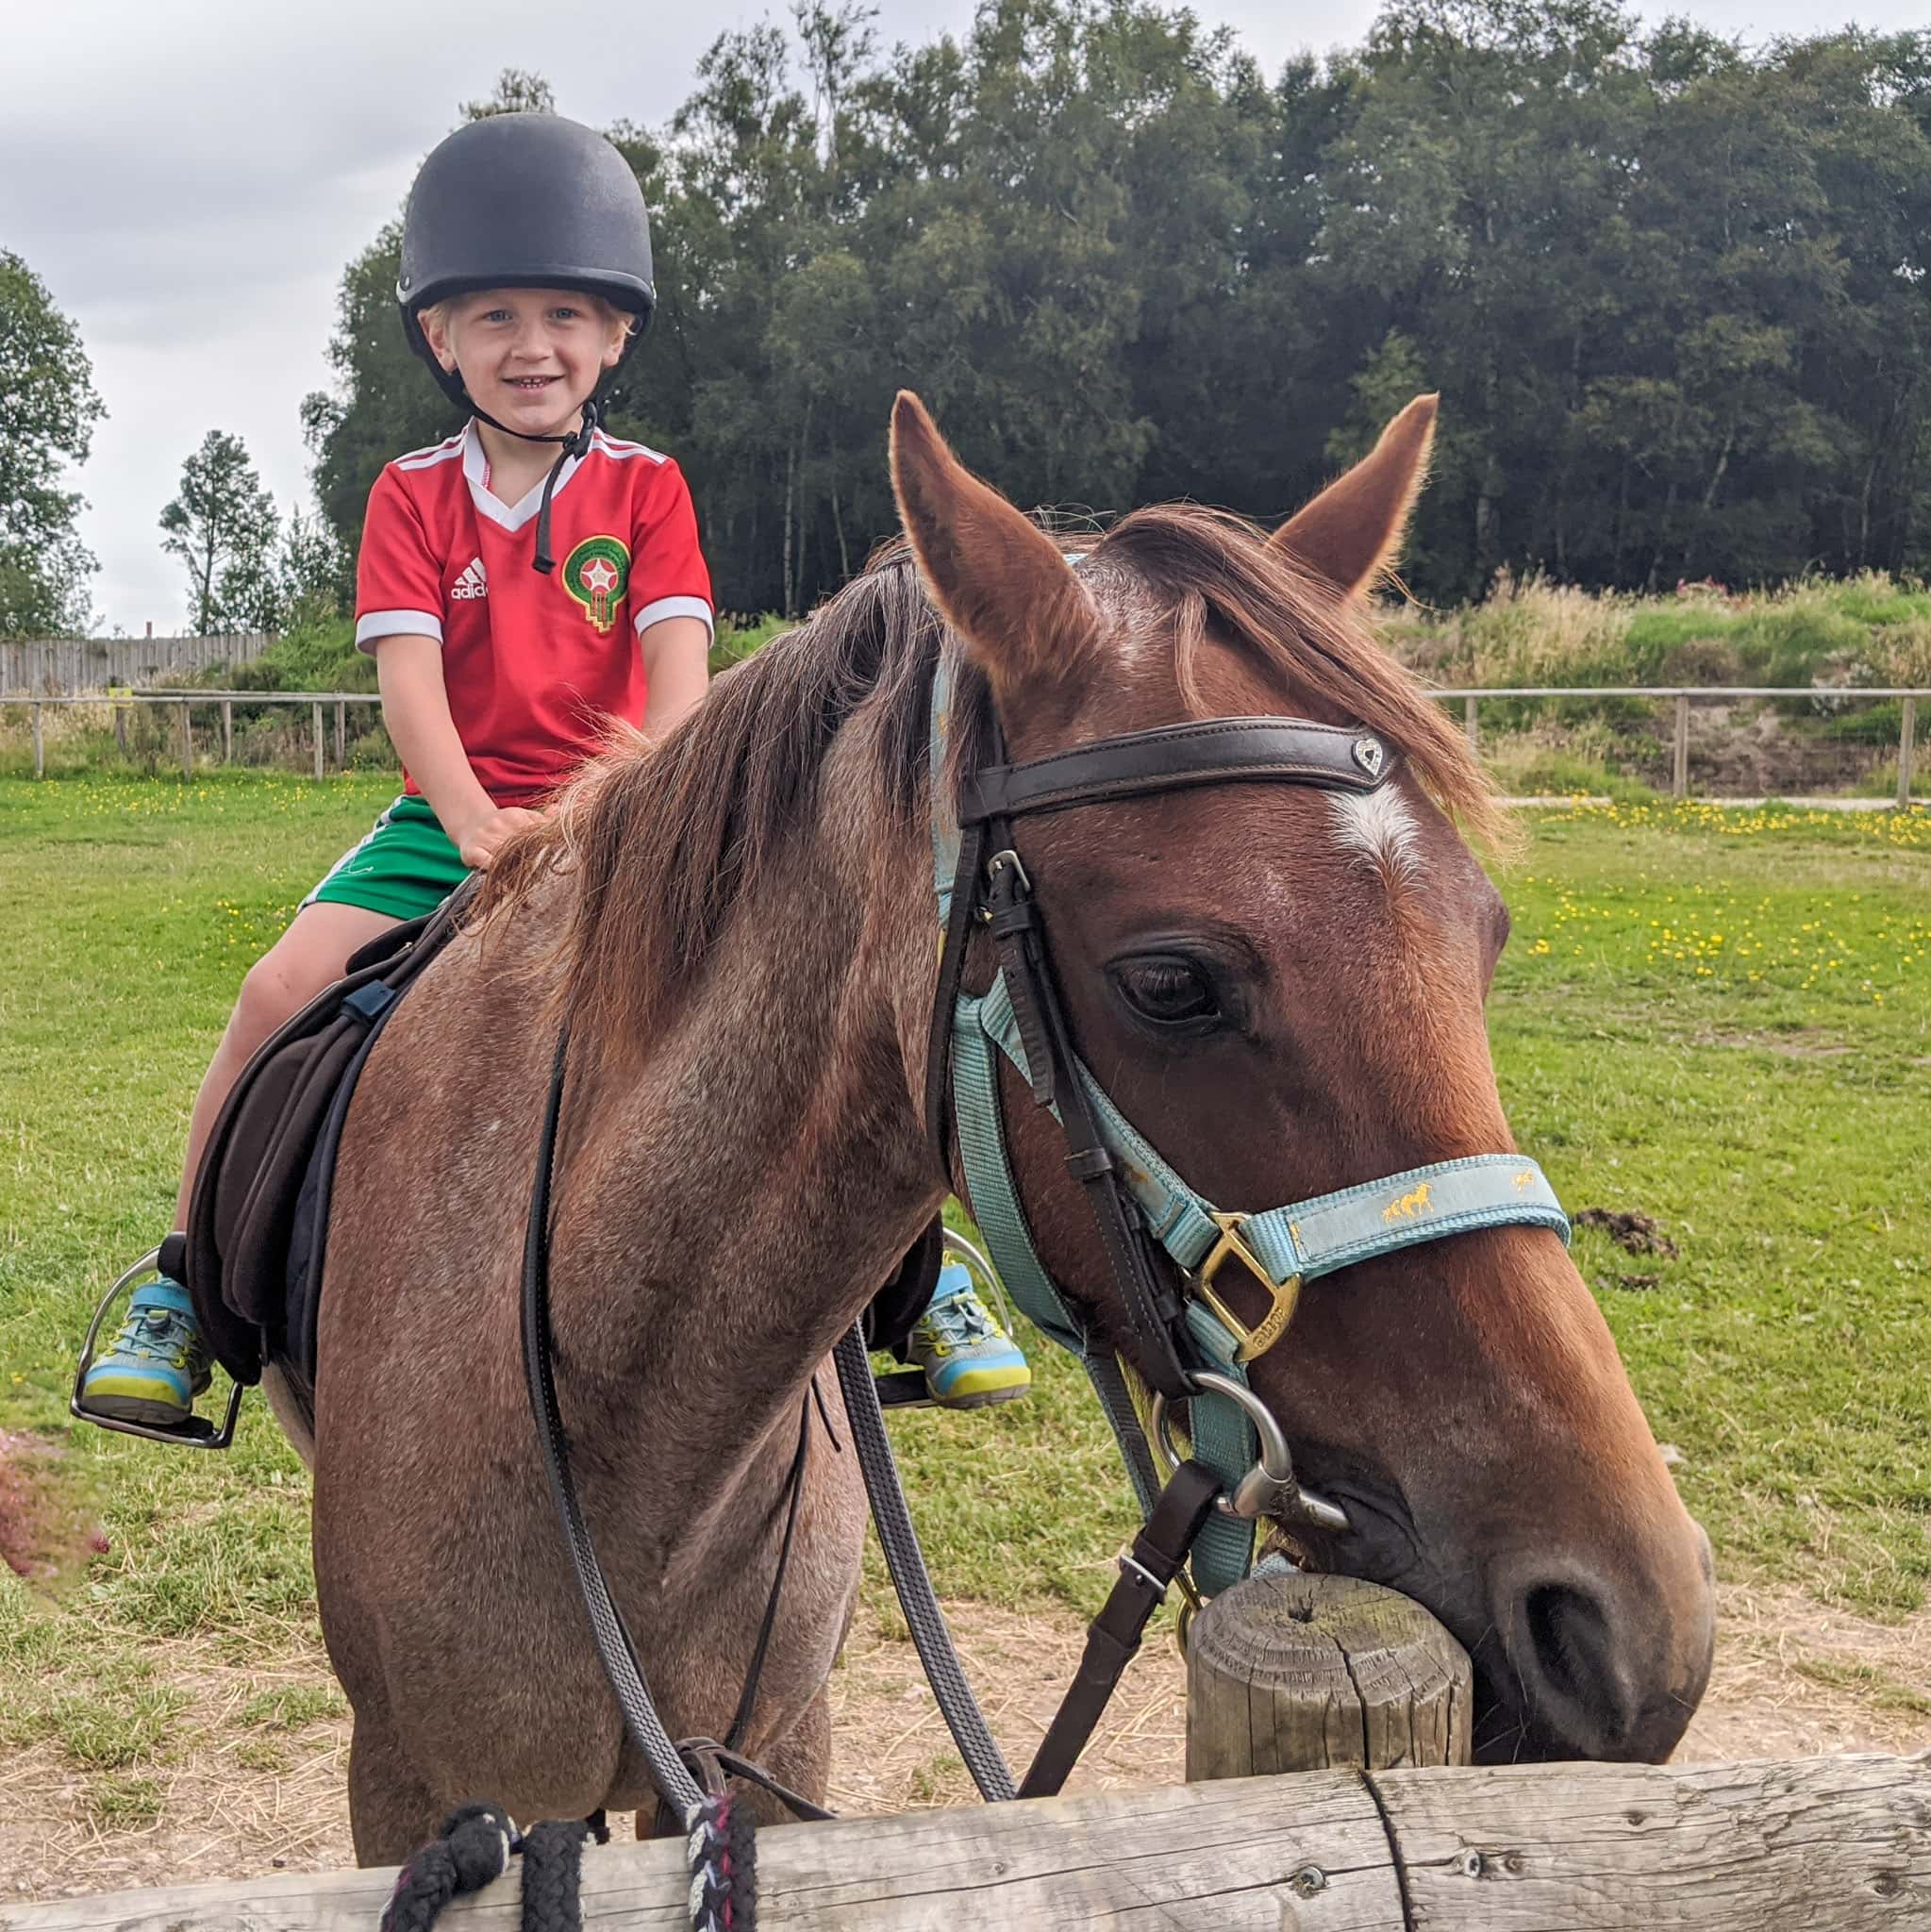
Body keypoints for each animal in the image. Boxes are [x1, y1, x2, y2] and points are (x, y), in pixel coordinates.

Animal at [305, 388, 1722, 1855]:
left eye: (1483, 935)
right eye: (1169, 982)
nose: (1630, 1631)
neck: (621, 1439)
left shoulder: (767, 1758)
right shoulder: (409, 1790)